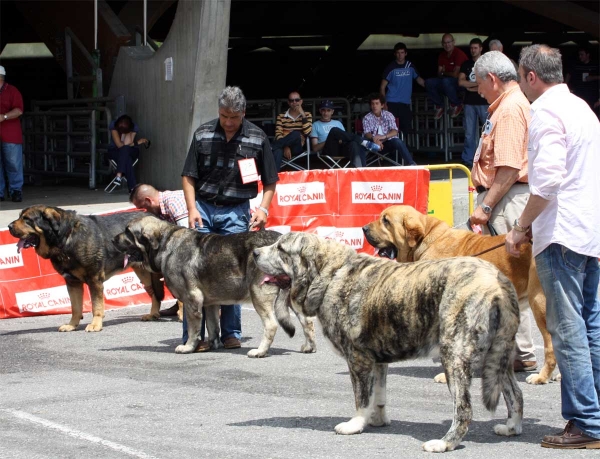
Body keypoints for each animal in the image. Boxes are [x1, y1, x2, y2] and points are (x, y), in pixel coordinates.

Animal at [7, 207, 166, 332]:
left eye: (27, 219)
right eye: (20, 217)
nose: (8, 226)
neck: (65, 238)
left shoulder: (94, 280)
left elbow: (96, 306)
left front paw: (95, 324)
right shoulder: (72, 283)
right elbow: (76, 307)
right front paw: (72, 325)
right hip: (143, 273)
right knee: (154, 294)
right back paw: (153, 314)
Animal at [113, 217, 318, 360]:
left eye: (128, 232)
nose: (113, 239)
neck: (165, 243)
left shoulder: (192, 300)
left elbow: (194, 328)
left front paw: (188, 347)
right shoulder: (209, 303)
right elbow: (212, 326)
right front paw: (213, 344)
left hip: (258, 294)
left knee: (271, 325)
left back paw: (260, 351)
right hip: (292, 298)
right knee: (307, 321)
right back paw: (309, 347)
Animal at [253, 234, 524, 452]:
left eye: (281, 248)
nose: (255, 253)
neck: (331, 274)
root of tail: (497, 282)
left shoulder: (358, 359)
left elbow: (361, 397)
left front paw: (355, 424)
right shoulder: (377, 360)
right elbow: (378, 394)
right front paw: (377, 420)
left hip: (454, 356)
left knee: (463, 409)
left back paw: (445, 443)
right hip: (497, 357)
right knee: (516, 394)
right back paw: (512, 427)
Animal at [364, 205, 560, 384]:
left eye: (386, 221)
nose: (364, 228)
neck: (424, 241)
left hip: (539, 302)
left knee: (551, 345)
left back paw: (542, 377)